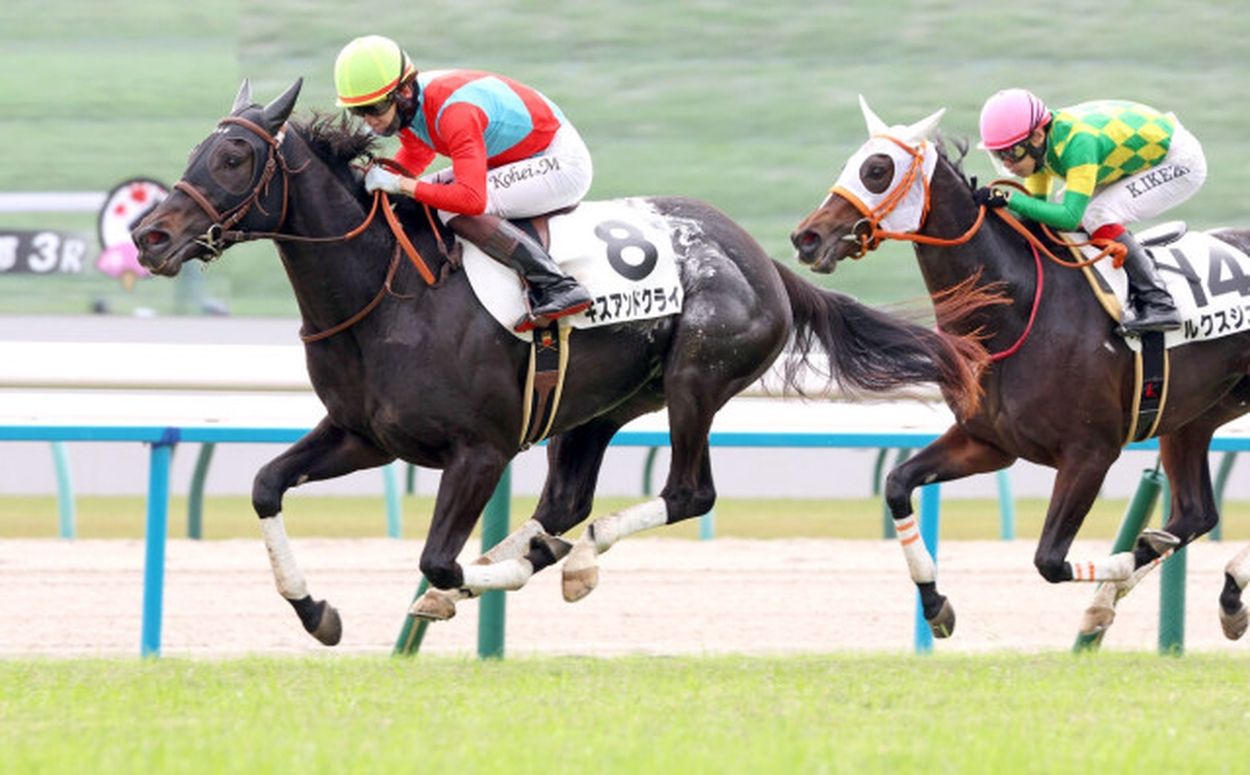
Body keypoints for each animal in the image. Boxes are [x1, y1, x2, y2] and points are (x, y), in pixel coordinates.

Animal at [129, 80, 985, 650]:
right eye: (199, 150)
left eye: (234, 156)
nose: (148, 234)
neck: (390, 291)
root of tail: (764, 260)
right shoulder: (363, 434)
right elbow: (266, 485)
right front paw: (317, 611)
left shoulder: (479, 450)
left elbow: (439, 560)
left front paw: (464, 586)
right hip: (598, 407)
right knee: (568, 501)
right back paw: (547, 553)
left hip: (695, 381)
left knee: (685, 493)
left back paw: (569, 559)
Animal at [790, 96, 1250, 640]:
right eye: (852, 164)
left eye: (877, 170)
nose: (806, 237)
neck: (1020, 309)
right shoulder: (987, 442)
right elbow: (898, 485)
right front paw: (935, 603)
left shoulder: (1090, 453)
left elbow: (1050, 560)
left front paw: (1119, 569)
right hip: (1193, 416)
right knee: (1196, 513)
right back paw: (1211, 597)